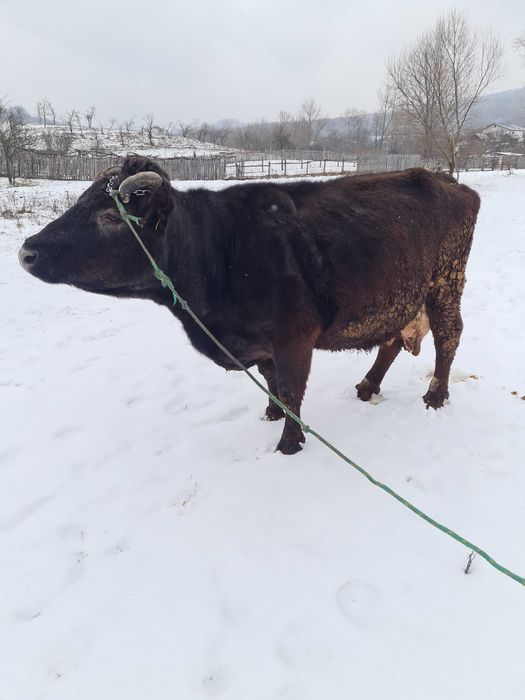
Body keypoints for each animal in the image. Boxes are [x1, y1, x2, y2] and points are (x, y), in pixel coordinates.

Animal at [18, 157, 480, 454]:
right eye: (80, 202)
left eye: (113, 217)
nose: (26, 252)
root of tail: (449, 181)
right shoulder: (263, 343)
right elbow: (272, 380)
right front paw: (270, 415)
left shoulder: (296, 335)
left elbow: (292, 387)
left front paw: (290, 443)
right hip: (402, 296)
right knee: (392, 341)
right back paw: (367, 387)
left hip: (445, 282)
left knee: (449, 336)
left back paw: (435, 396)